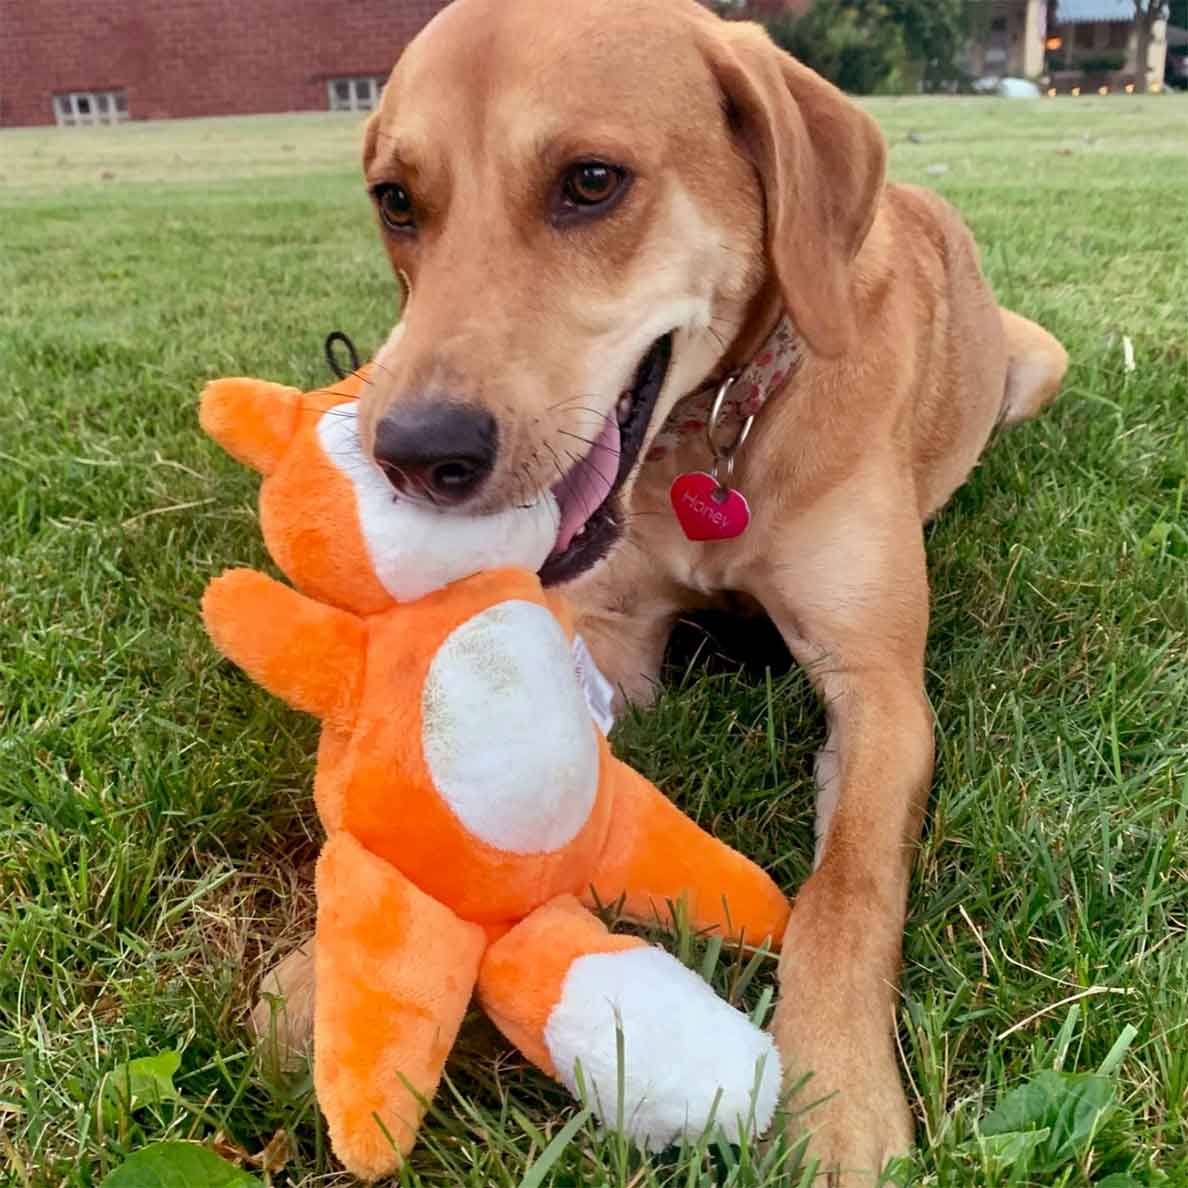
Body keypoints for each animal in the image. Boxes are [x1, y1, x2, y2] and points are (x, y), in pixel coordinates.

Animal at [257, 0, 1069, 1178]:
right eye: (397, 200)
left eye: (591, 182)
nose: (411, 453)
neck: (715, 438)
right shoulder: (611, 640)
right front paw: (325, 970)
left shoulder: (881, 688)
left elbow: (848, 890)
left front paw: (839, 1096)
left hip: (1038, 367)